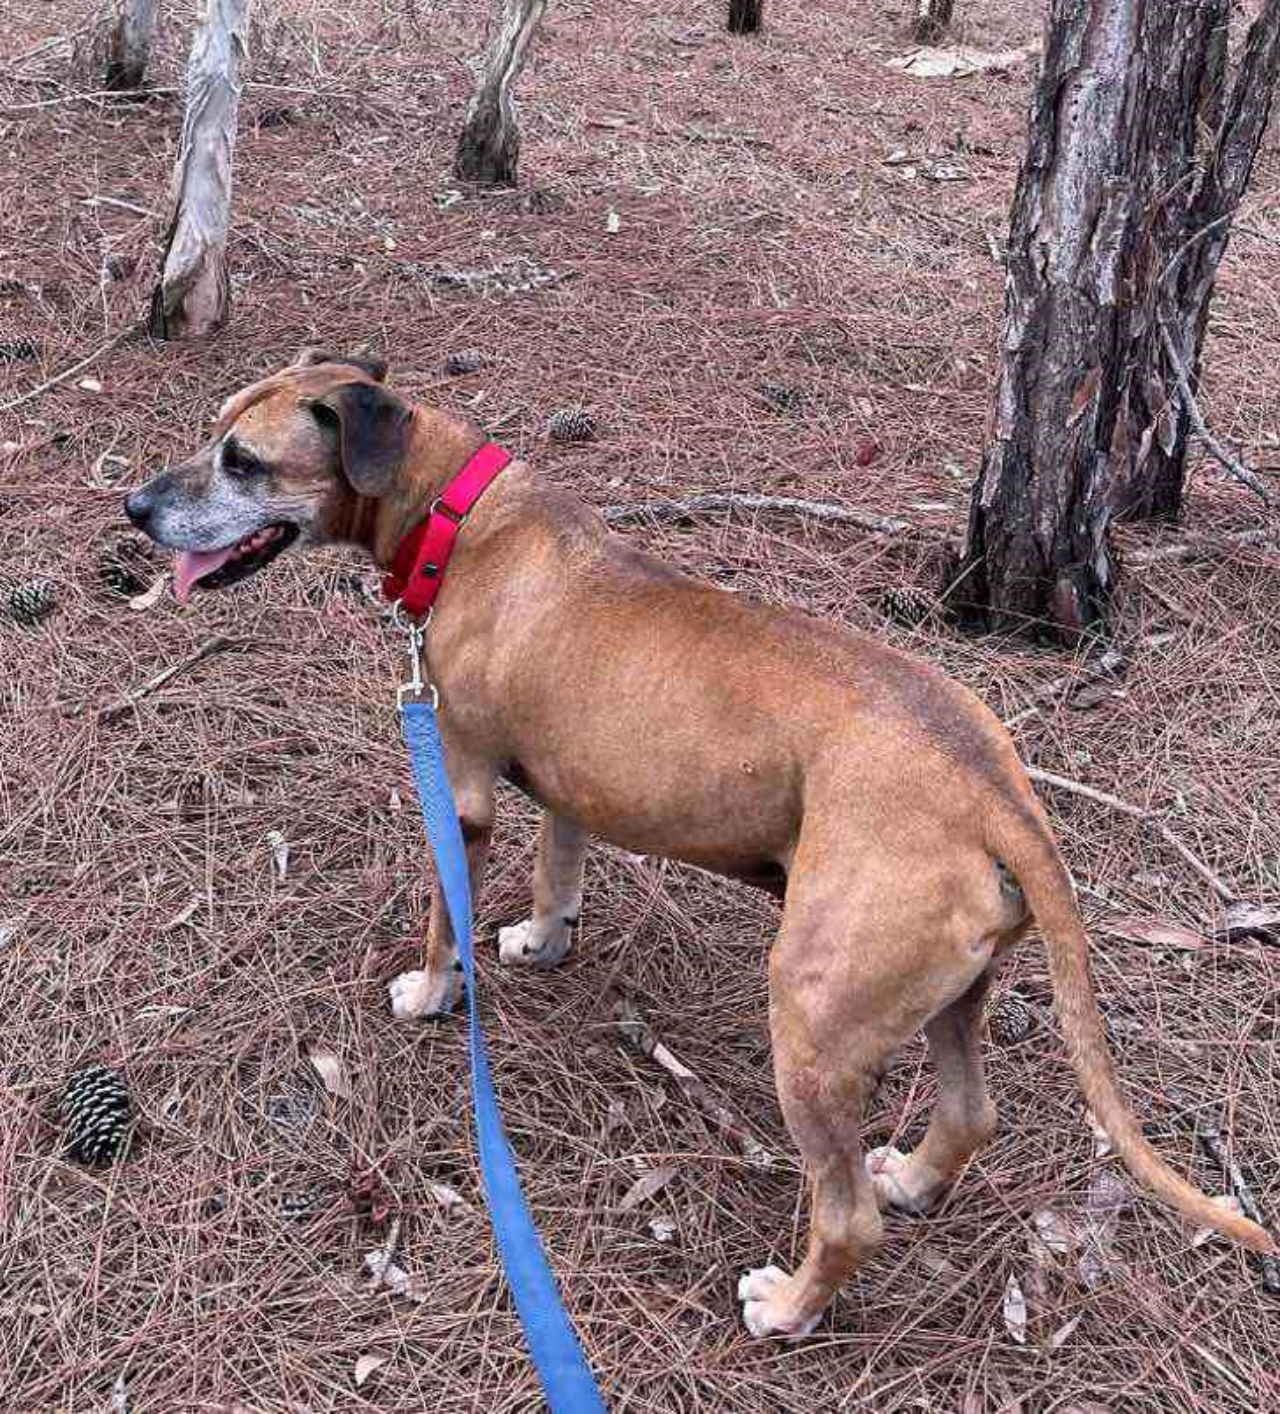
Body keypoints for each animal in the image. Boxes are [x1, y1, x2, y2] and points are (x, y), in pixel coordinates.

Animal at [127, 350, 1267, 1334]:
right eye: (218, 435)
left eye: (243, 460)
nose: (135, 508)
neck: (459, 514)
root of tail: (993, 788)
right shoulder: (570, 788)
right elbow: (559, 872)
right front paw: (542, 940)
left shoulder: (463, 793)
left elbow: (446, 912)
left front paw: (431, 991)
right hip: (952, 994)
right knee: (967, 1115)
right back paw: (911, 1179)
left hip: (811, 1022)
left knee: (843, 1215)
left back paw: (788, 1306)